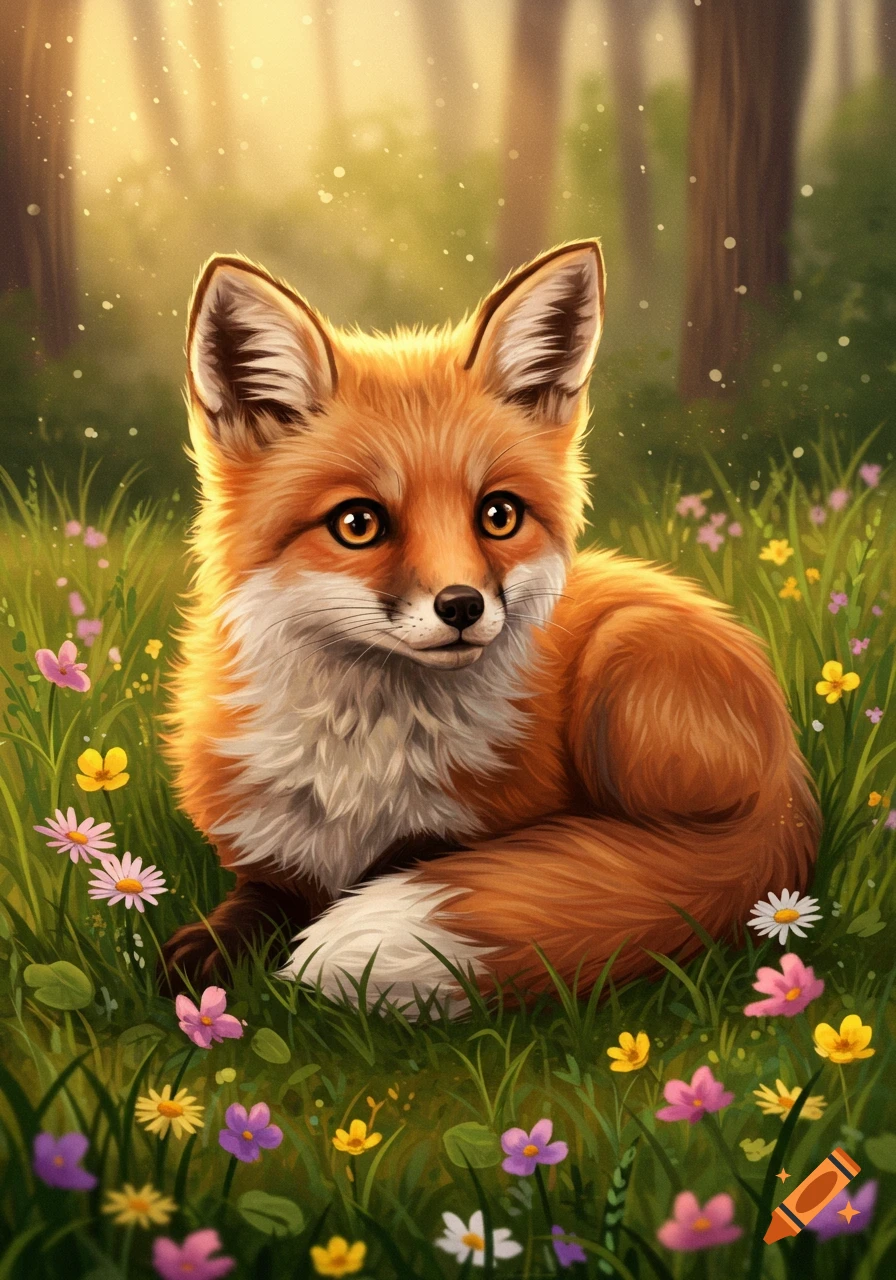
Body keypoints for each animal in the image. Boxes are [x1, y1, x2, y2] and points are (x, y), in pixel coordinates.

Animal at [161, 239, 820, 1014]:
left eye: (498, 515)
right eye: (358, 523)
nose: (462, 606)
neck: (365, 764)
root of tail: (789, 791)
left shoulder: (475, 827)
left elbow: (435, 859)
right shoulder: (271, 845)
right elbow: (257, 901)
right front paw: (209, 950)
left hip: (629, 663)